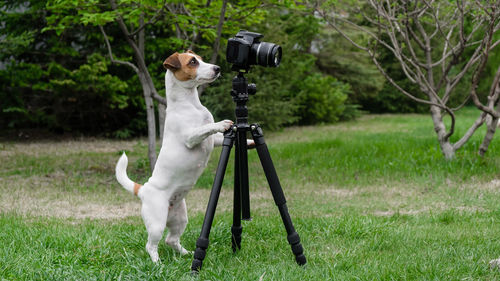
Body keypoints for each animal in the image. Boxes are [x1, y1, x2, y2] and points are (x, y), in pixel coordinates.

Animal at [115, 49, 234, 260]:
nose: (217, 68)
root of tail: (143, 189)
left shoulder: (215, 141)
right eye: (193, 62)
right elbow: (207, 127)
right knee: (151, 245)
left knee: (171, 240)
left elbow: (216, 135)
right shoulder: (191, 137)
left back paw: (186, 253)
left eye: (201, 58)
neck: (191, 105)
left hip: (180, 219)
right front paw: (221, 123)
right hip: (157, 224)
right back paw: (157, 262)